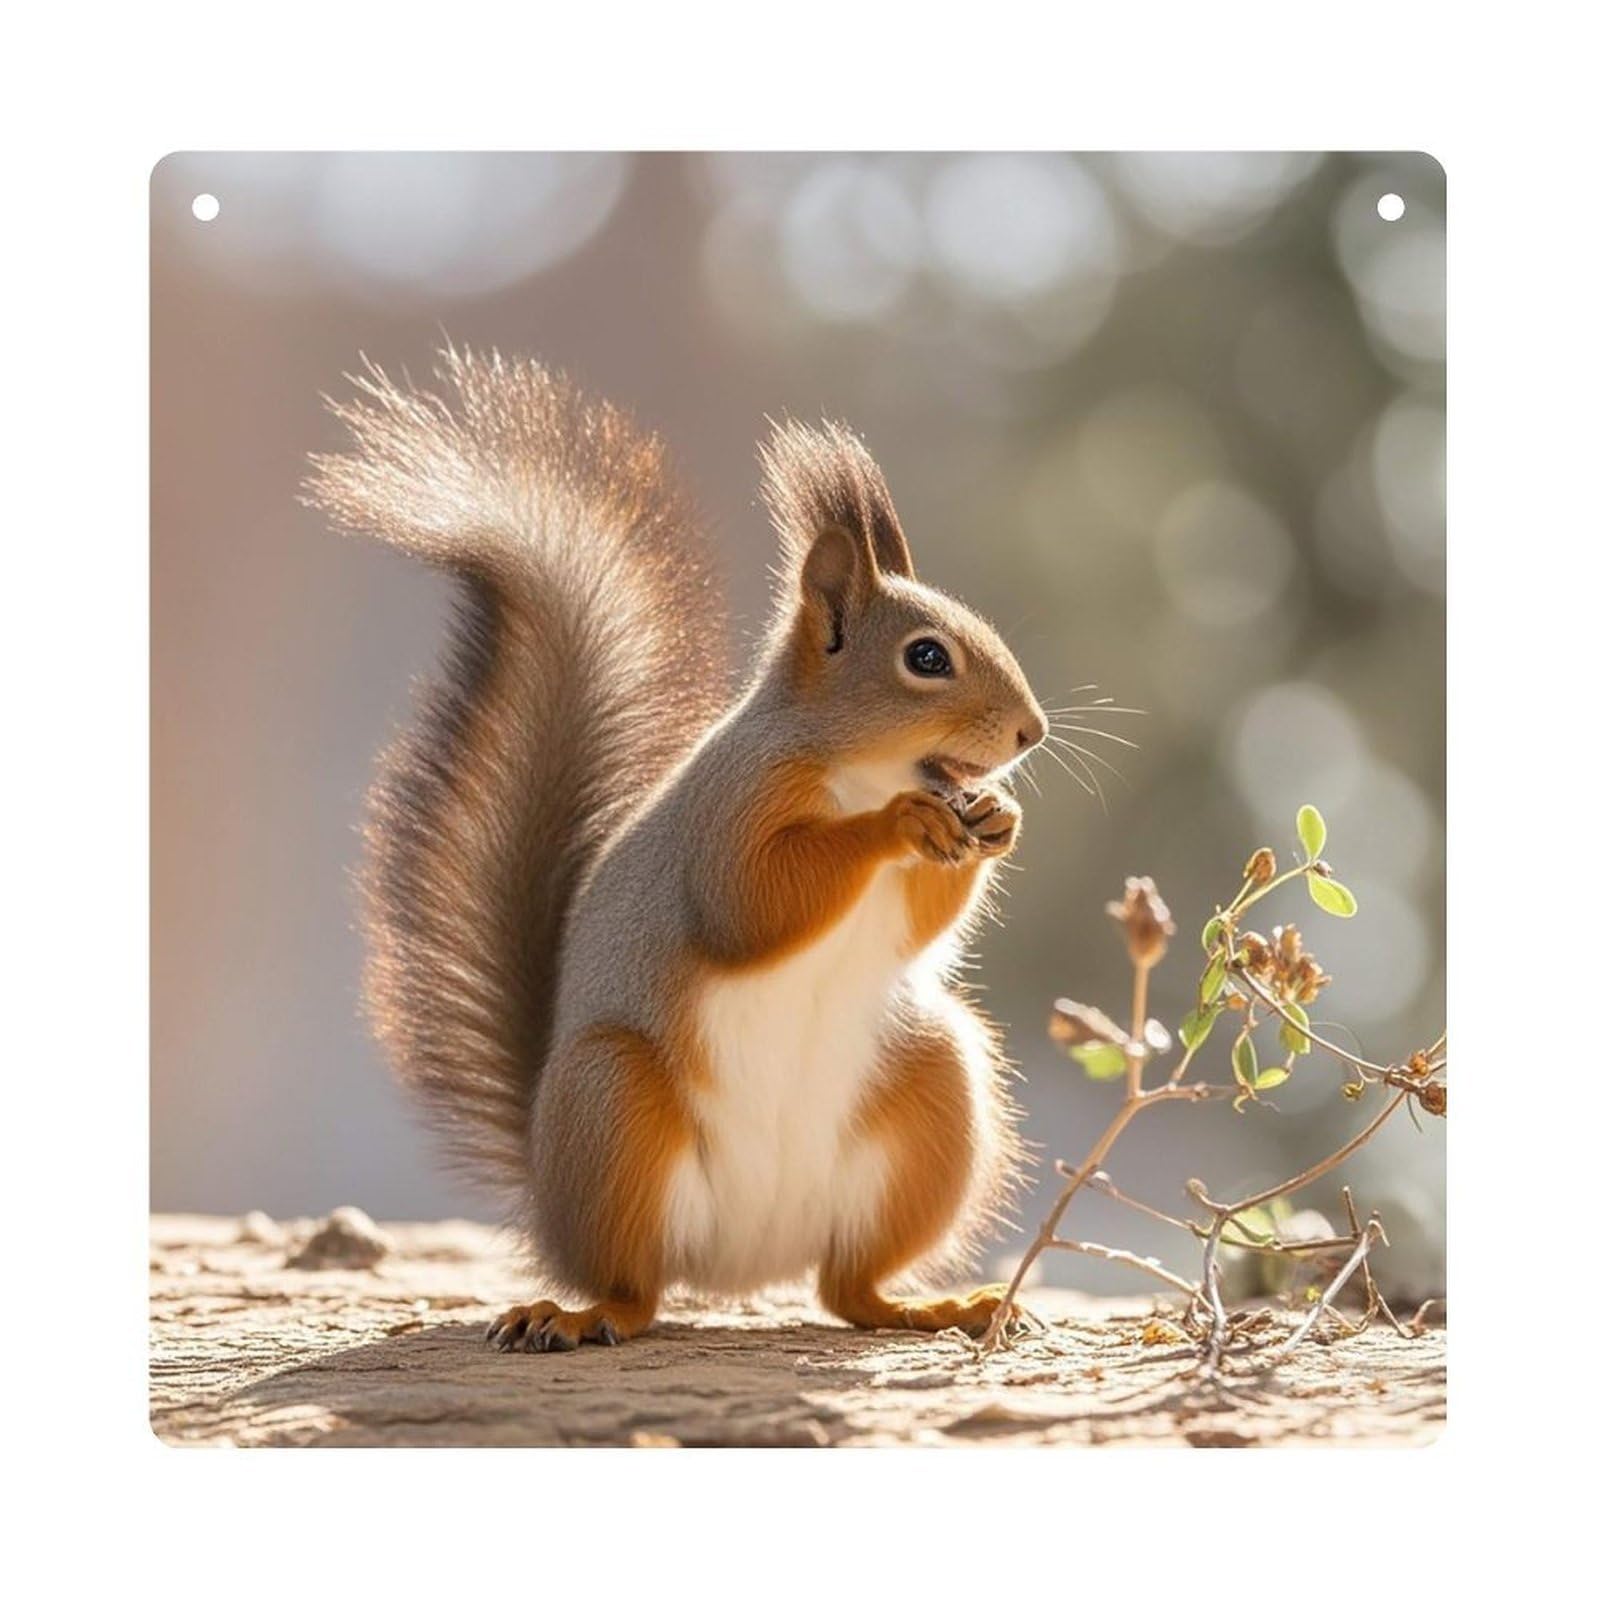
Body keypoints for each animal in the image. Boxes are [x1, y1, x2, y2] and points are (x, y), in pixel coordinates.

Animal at [306, 347, 1048, 1352]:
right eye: (926, 658)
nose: (1031, 733)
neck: (856, 770)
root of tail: (745, 1264)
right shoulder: (730, 813)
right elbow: (752, 905)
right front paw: (898, 825)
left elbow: (917, 925)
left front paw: (996, 820)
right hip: (616, 1103)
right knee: (638, 1289)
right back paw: (575, 1313)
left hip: (936, 1088)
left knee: (848, 1289)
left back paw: (931, 1305)